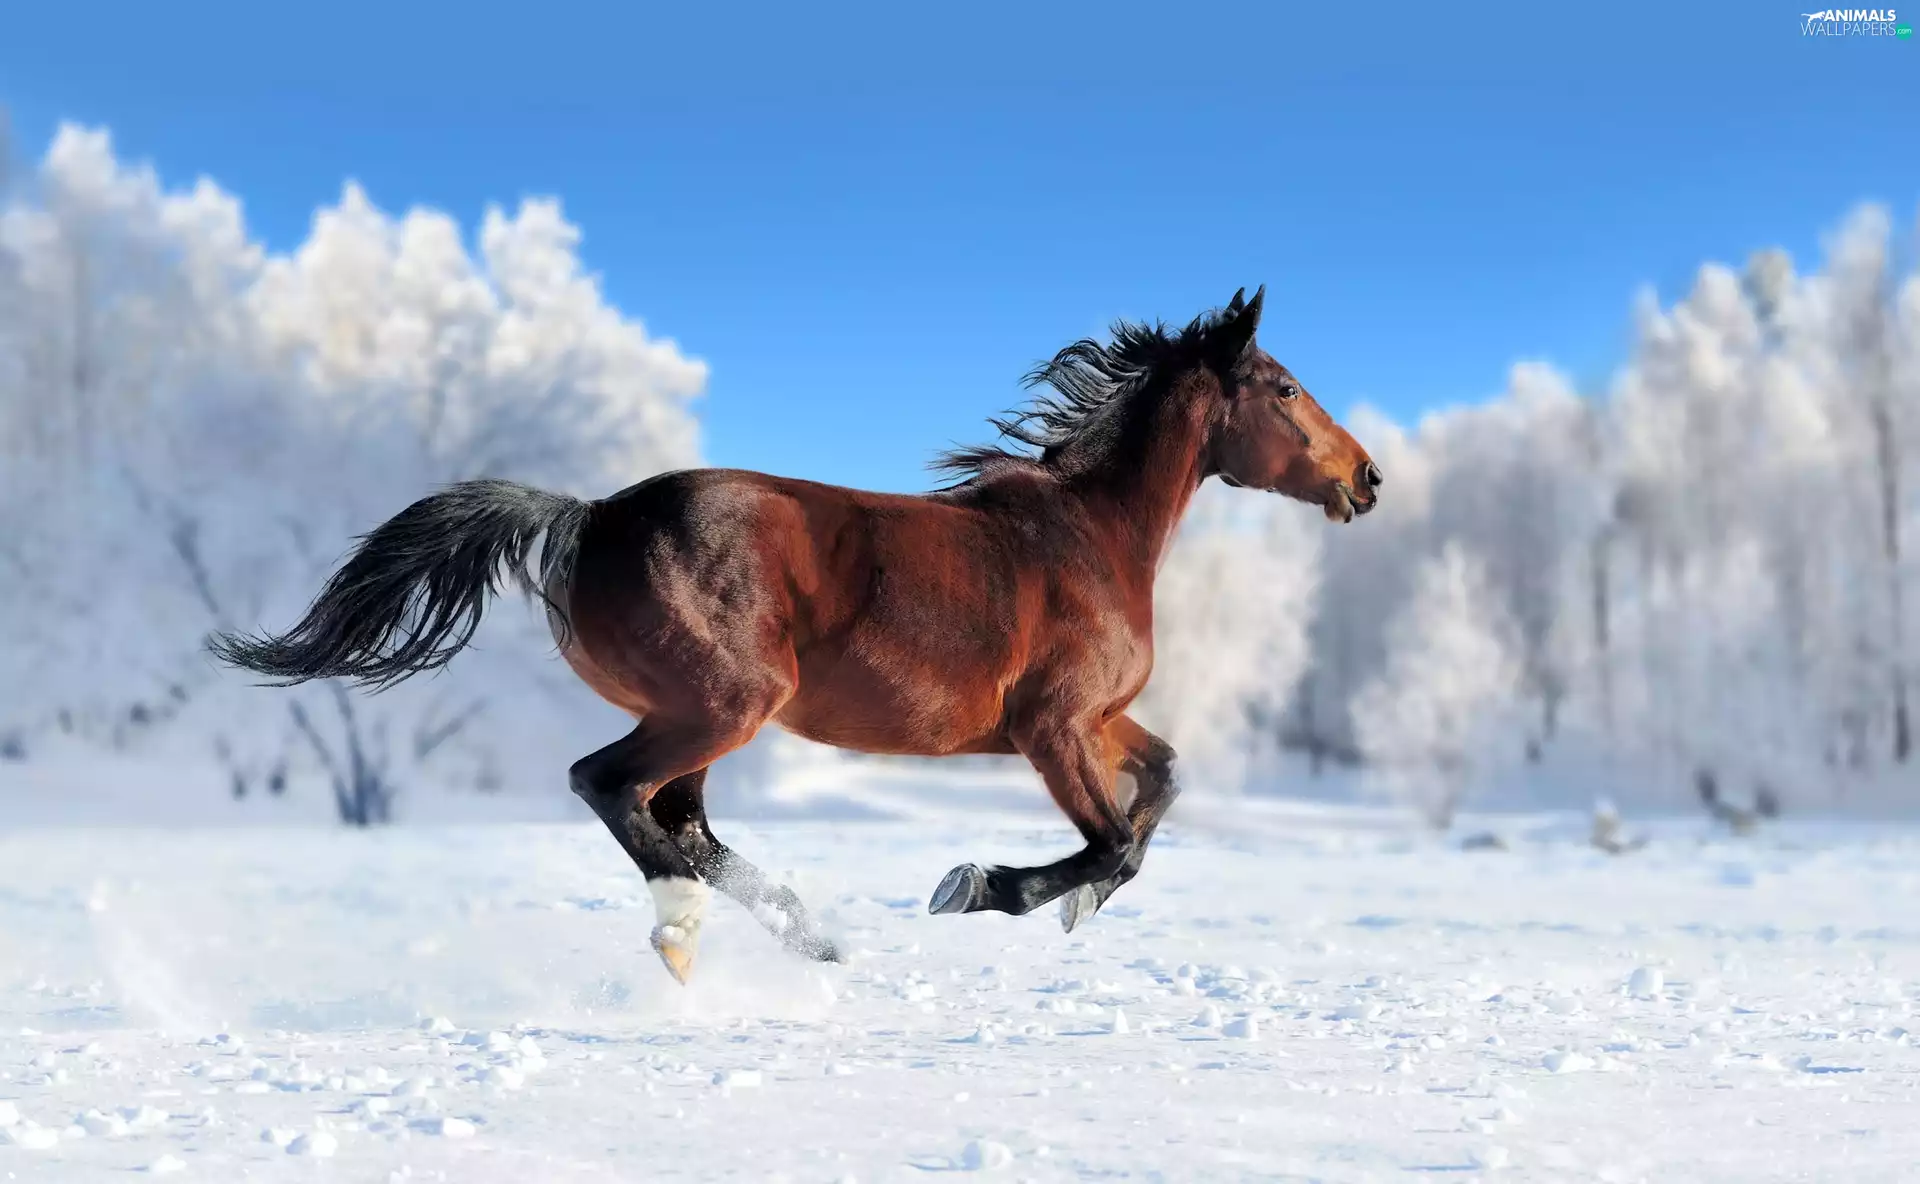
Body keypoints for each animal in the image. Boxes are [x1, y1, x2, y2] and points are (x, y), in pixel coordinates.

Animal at [208, 285, 1381, 983]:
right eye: (1283, 387)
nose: (1366, 476)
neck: (1090, 532)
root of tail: (590, 516)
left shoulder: (1098, 719)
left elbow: (1162, 787)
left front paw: (1065, 905)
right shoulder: (1053, 727)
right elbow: (1114, 844)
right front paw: (982, 888)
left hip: (699, 715)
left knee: (679, 818)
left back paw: (803, 934)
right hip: (722, 704)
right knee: (613, 788)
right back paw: (694, 929)